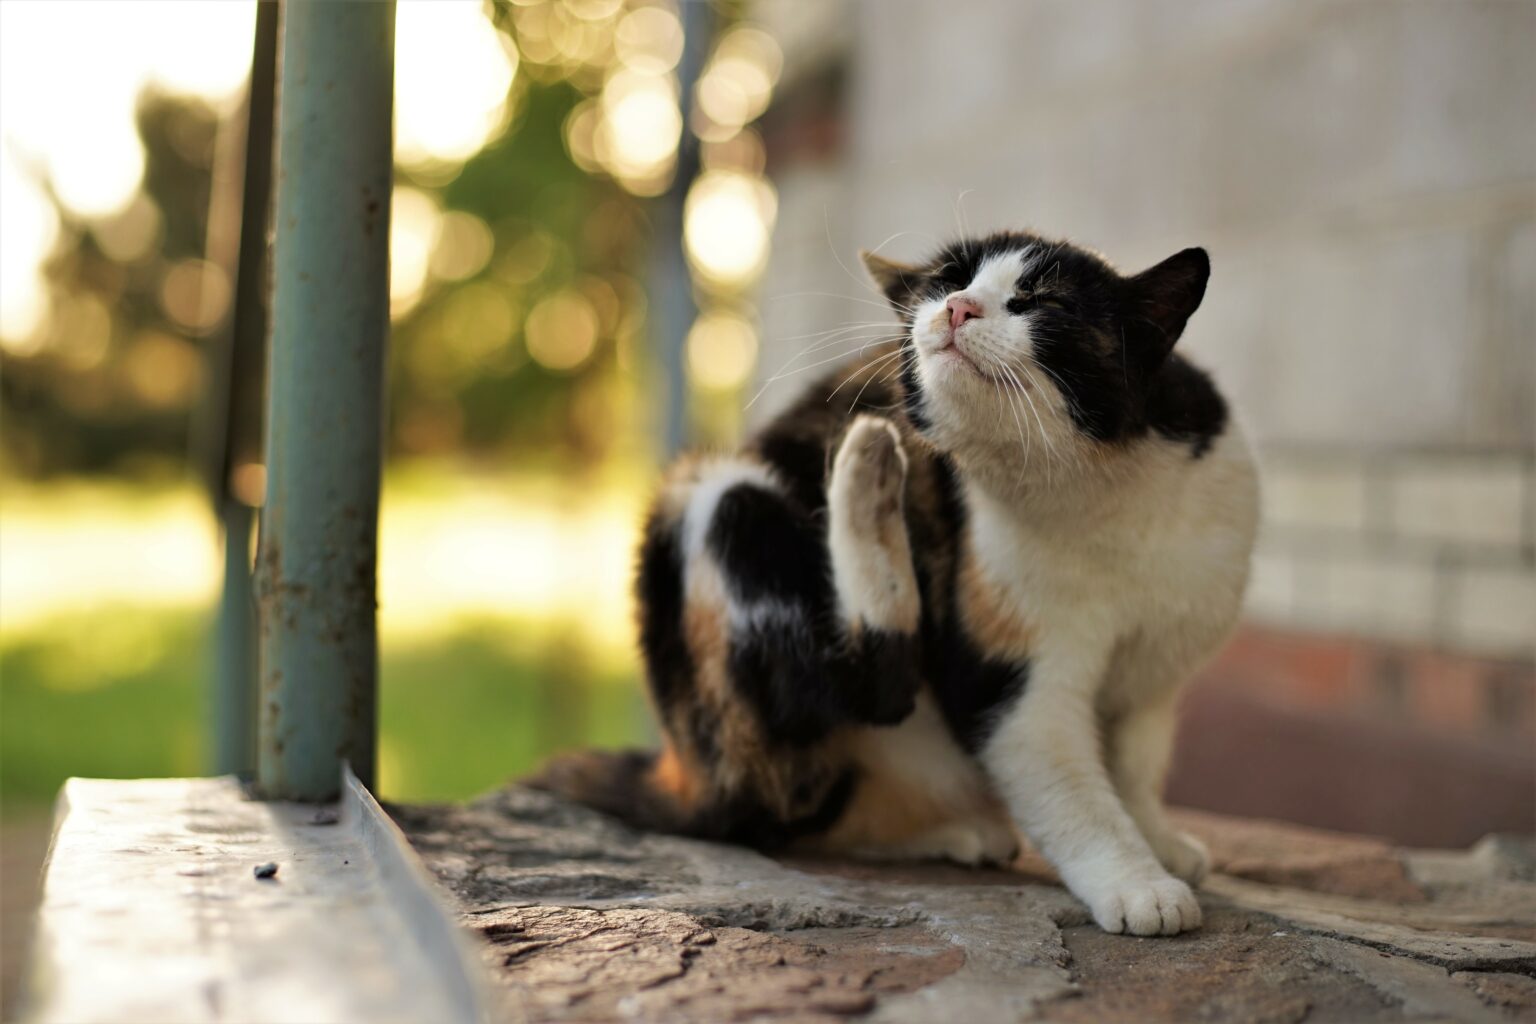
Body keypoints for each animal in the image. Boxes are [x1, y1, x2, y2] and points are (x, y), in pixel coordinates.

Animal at [534, 231, 1253, 939]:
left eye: (1041, 300)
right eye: (947, 282)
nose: (959, 308)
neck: (1096, 490)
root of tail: (684, 773)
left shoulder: (1156, 674)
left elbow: (1135, 766)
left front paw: (1159, 840)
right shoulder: (1004, 676)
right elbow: (1072, 791)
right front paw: (1138, 885)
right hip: (717, 500)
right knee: (834, 722)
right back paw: (867, 469)